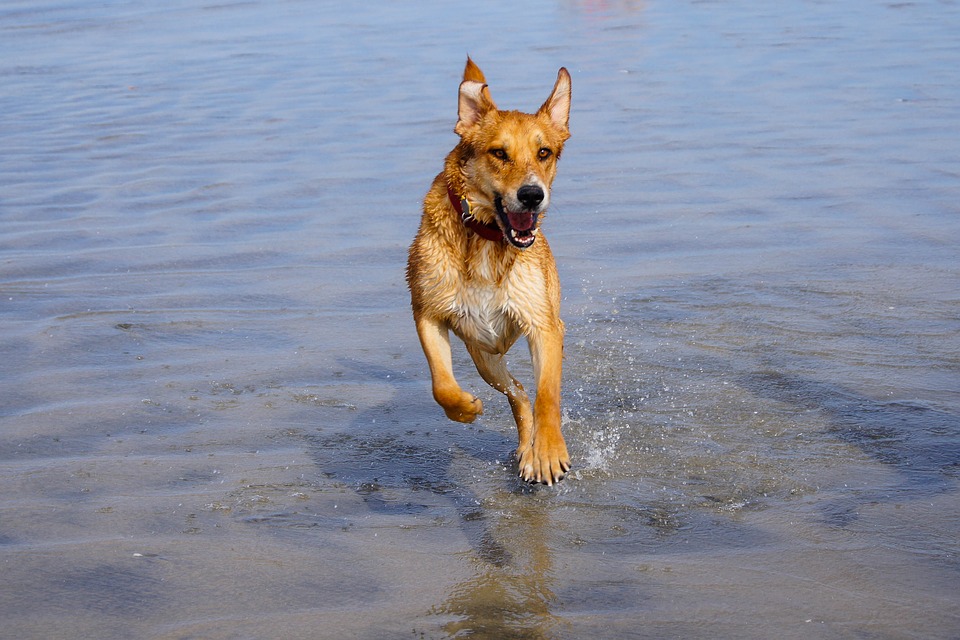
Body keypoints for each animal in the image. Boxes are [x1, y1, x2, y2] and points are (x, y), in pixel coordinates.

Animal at [404, 58, 568, 484]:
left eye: (544, 152)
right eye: (498, 152)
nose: (532, 195)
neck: (487, 239)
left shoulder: (544, 325)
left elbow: (548, 395)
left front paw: (548, 452)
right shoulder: (428, 313)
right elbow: (441, 385)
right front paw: (465, 409)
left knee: (528, 392)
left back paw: (533, 451)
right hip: (485, 356)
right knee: (518, 392)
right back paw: (523, 447)